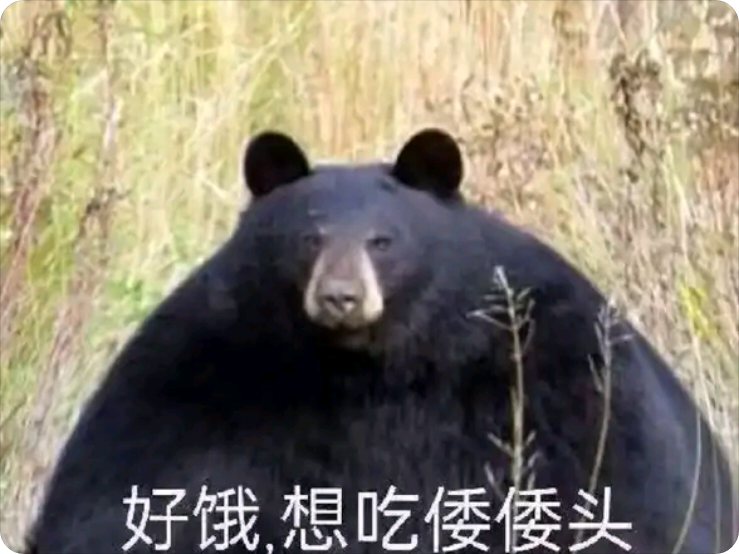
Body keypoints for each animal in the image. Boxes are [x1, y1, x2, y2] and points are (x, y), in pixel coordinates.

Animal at [25, 128, 736, 554]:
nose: (339, 297)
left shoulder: (556, 375)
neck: (373, 366)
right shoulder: (201, 378)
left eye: (382, 241)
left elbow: (626, 493)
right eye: (309, 237)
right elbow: (134, 499)